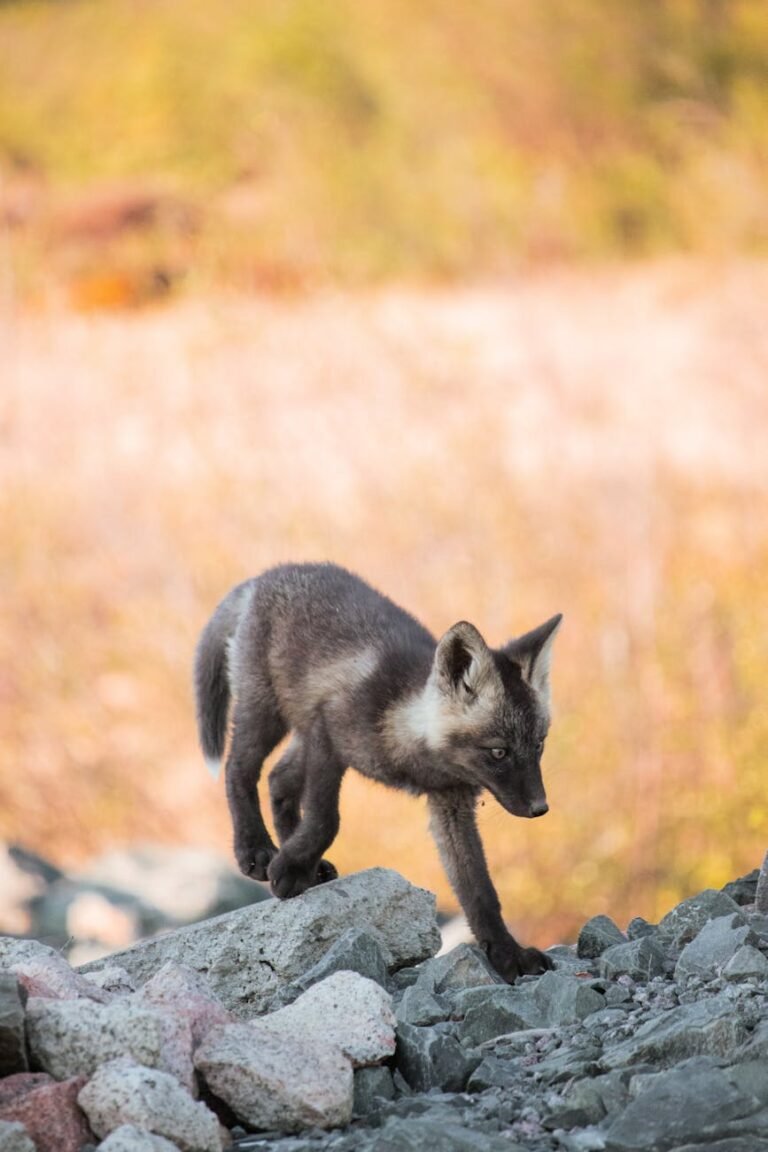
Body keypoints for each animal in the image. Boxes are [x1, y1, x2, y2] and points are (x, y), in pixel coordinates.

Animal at [195, 562, 561, 976]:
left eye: (539, 745)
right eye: (498, 752)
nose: (540, 808)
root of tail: (270, 573)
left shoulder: (451, 805)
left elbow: (480, 892)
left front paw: (507, 953)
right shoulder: (328, 732)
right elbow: (326, 819)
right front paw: (289, 869)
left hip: (296, 730)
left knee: (279, 780)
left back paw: (305, 861)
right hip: (265, 712)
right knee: (239, 770)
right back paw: (257, 850)